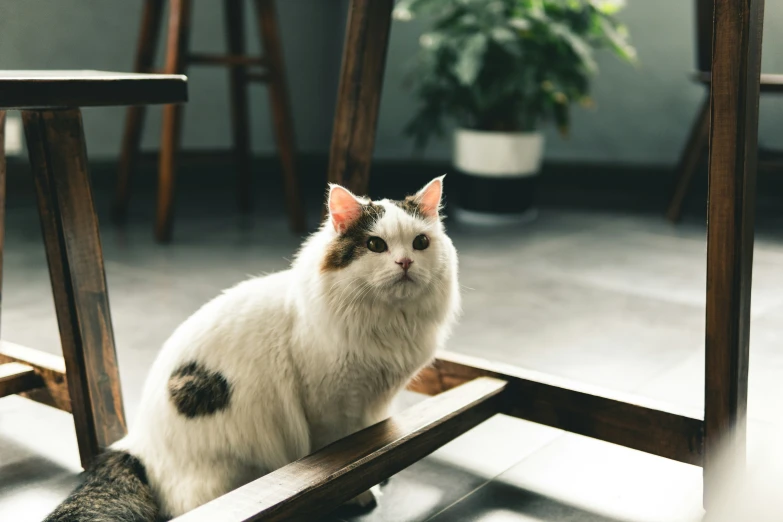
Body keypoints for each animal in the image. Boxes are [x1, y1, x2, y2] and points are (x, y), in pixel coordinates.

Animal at [44, 177, 460, 516]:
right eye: (375, 245)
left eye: (420, 243)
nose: (405, 262)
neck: (388, 323)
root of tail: (135, 444)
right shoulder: (331, 410)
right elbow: (347, 453)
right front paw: (361, 493)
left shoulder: (374, 402)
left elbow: (370, 439)